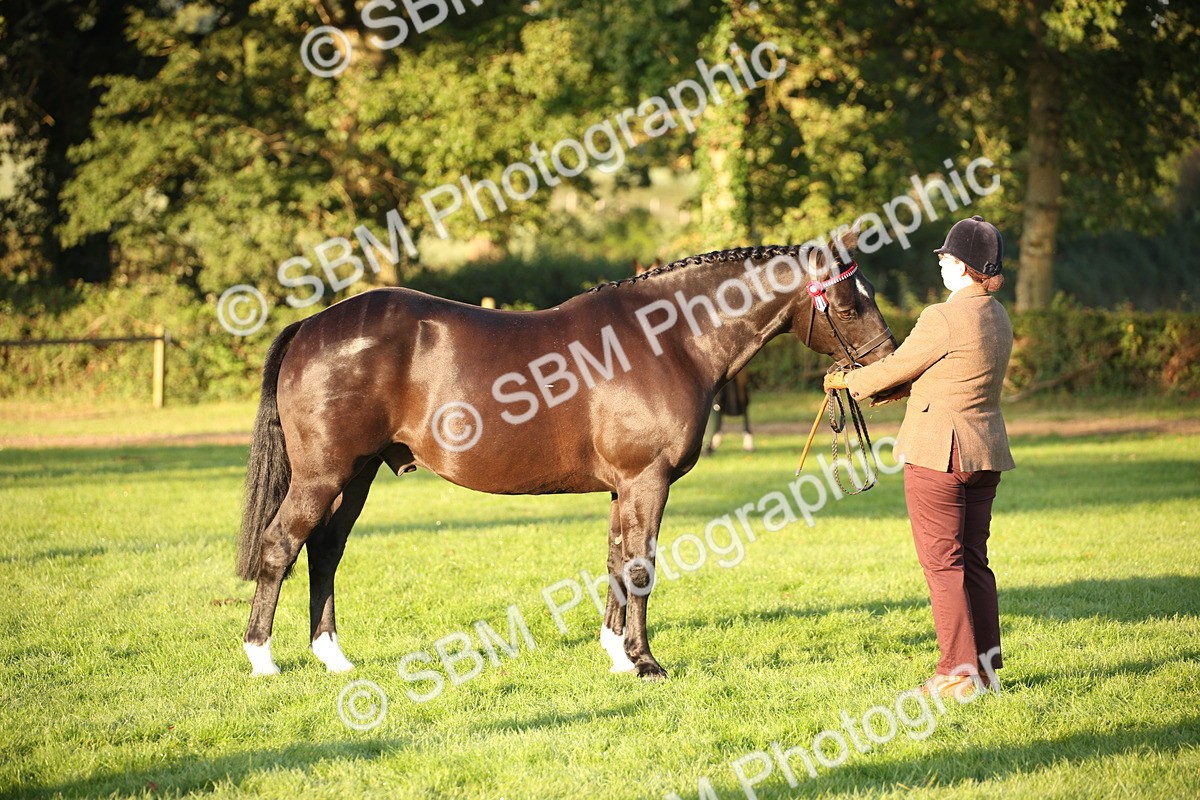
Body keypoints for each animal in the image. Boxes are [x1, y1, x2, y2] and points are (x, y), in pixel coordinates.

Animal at [237, 229, 900, 680]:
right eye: (848, 304)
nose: (888, 373)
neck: (668, 340)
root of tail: (312, 325)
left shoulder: (622, 488)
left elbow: (615, 564)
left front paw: (616, 655)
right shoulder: (647, 481)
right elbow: (641, 567)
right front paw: (646, 663)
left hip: (358, 475)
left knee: (324, 552)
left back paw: (332, 657)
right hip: (323, 476)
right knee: (280, 545)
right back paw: (262, 658)